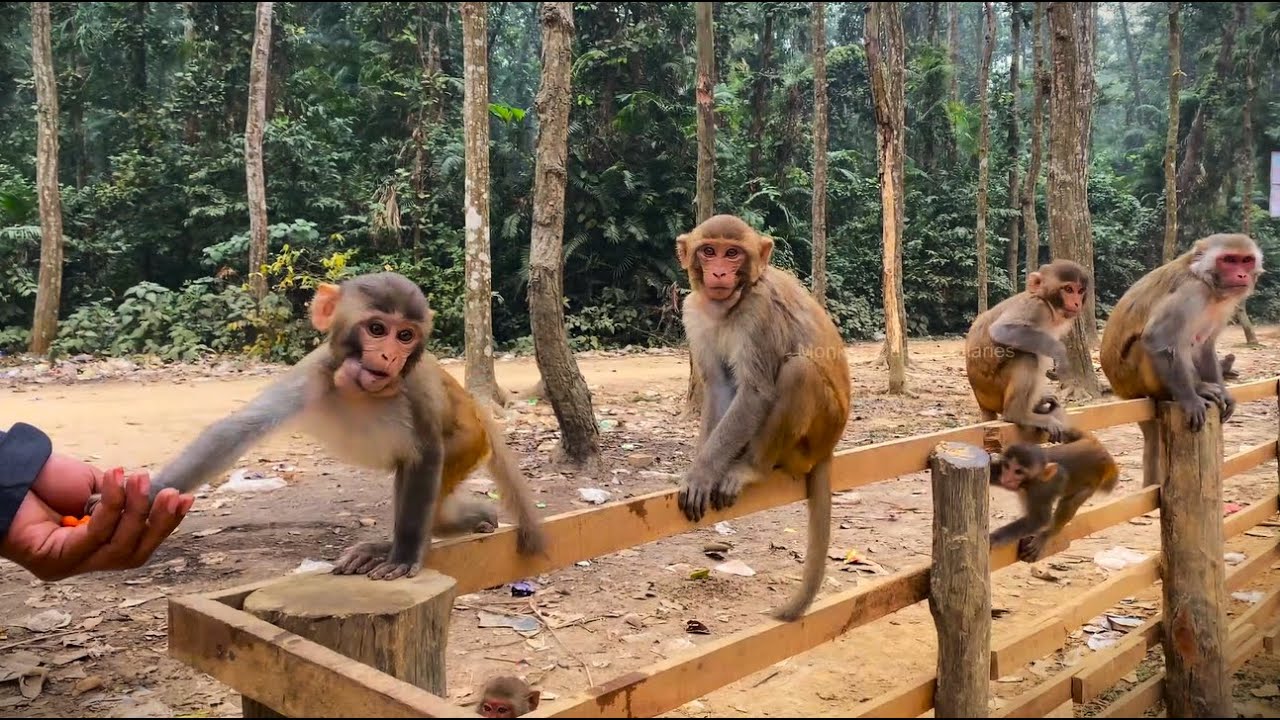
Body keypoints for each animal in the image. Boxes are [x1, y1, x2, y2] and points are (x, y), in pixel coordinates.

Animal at [84, 272, 546, 579]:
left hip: (468, 441)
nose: (389, 357)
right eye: (377, 329)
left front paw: (403, 554)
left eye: (405, 336)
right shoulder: (316, 371)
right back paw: (476, 517)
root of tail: (477, 409)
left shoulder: (414, 388)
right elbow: (237, 430)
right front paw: (143, 497)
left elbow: (428, 452)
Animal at [675, 214, 852, 622]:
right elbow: (720, 387)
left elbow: (755, 392)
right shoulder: (695, 311)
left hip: (817, 434)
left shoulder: (759, 312)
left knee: (798, 372)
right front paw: (704, 466)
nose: (719, 272)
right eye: (708, 251)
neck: (730, 306)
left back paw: (750, 468)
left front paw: (702, 472)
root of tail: (830, 449)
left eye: (732, 253)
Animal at [964, 260, 1091, 444]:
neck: (1048, 304)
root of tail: (980, 400)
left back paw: (1037, 405)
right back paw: (1019, 415)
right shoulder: (1035, 307)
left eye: (1080, 291)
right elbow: (1001, 330)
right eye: (1068, 289)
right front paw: (1060, 353)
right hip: (993, 390)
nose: (1077, 303)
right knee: (1027, 356)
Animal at [988, 426, 1120, 563]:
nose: (1007, 479)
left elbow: (1039, 519)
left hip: (1092, 485)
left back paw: (1047, 534)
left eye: (1018, 471)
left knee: (1070, 502)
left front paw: (994, 538)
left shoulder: (1041, 489)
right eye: (1007, 466)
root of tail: (1103, 453)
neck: (1027, 484)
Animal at [1099, 234, 1263, 483]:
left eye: (1246, 260)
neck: (1208, 284)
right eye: (1229, 260)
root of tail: (1122, 391)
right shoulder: (1190, 292)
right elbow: (1156, 338)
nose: (1242, 275)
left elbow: (1206, 345)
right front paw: (1190, 398)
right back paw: (1189, 390)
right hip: (1135, 379)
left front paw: (1223, 392)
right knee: (1162, 343)